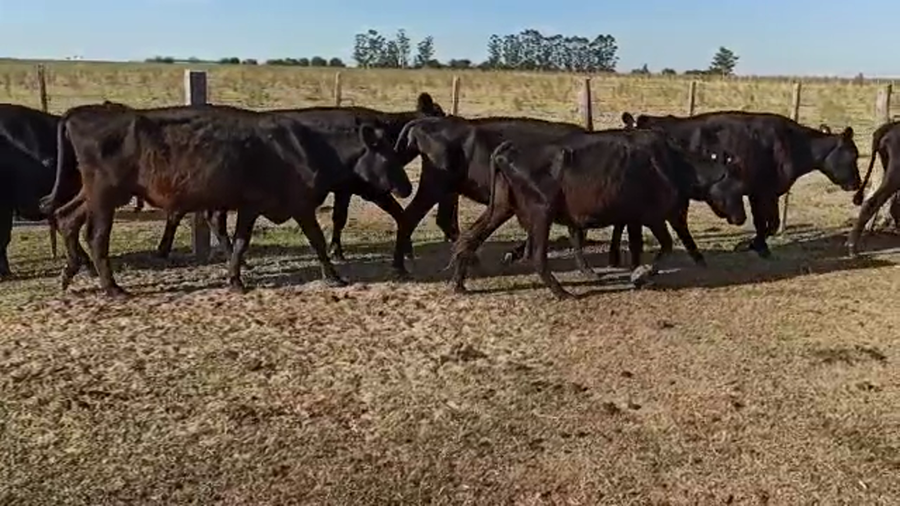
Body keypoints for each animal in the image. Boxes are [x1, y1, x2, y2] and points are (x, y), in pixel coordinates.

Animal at [39, 102, 412, 298]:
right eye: (386, 154)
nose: (407, 188)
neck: (306, 145)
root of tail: (80, 112)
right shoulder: (300, 204)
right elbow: (317, 240)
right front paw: (334, 276)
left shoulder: (250, 206)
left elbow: (241, 243)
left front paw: (235, 279)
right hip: (105, 195)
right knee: (96, 236)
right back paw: (111, 285)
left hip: (93, 194)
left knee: (67, 217)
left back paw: (72, 272)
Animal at [154, 93, 447, 262]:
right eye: (440, 115)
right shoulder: (367, 188)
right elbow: (396, 212)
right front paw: (406, 249)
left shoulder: (344, 189)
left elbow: (340, 217)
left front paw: (336, 249)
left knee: (212, 218)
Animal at [448, 127, 748, 299]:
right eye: (737, 185)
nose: (742, 218)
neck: (674, 163)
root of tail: (508, 148)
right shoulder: (653, 217)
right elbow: (665, 245)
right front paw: (641, 275)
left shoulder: (638, 218)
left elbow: (643, 246)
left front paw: (638, 273)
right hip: (541, 211)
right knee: (537, 255)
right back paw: (563, 293)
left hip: (501, 207)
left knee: (469, 238)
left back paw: (459, 284)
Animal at [621, 110, 861, 259]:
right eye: (853, 155)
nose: (857, 183)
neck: (792, 144)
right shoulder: (764, 192)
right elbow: (768, 224)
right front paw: (753, 245)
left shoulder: (761, 193)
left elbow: (766, 223)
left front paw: (757, 246)